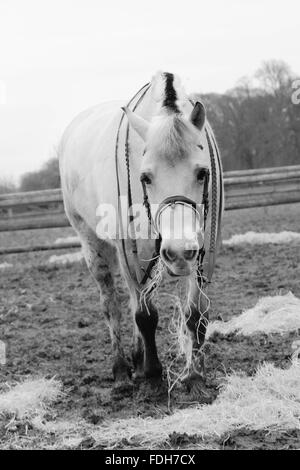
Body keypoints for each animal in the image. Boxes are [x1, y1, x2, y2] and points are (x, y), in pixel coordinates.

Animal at [59, 70, 223, 392]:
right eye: (145, 177)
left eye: (202, 173)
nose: (178, 253)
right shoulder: (131, 253)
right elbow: (145, 316)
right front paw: (153, 373)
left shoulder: (201, 251)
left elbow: (196, 315)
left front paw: (195, 376)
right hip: (93, 244)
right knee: (112, 305)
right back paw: (122, 370)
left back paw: (136, 359)